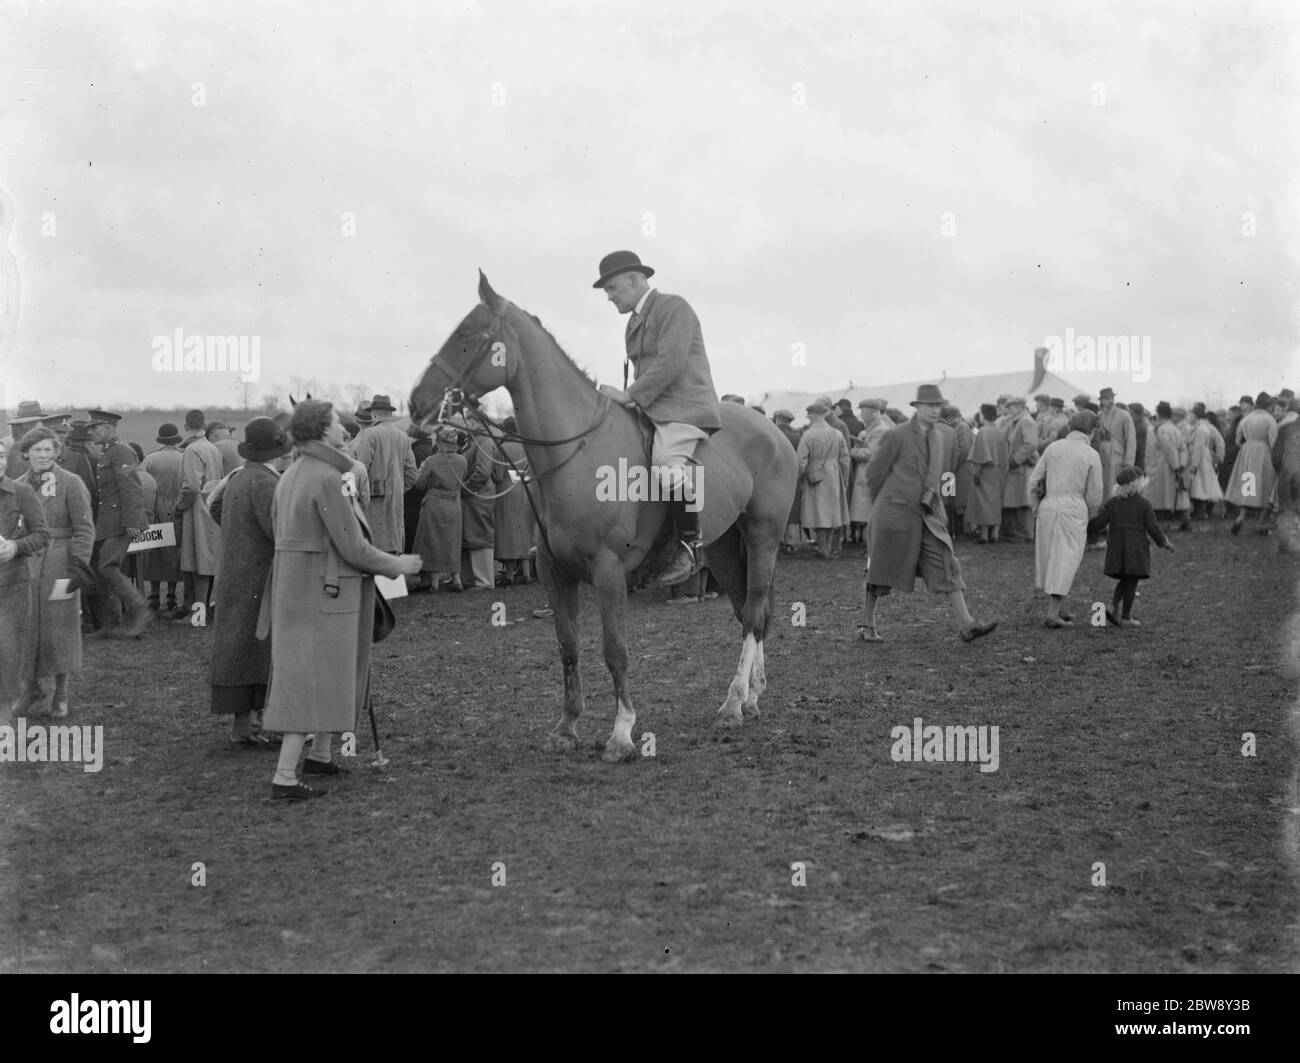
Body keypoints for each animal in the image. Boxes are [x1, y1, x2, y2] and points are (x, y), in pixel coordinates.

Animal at [410, 268, 795, 758]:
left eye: (469, 335)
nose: (415, 404)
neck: (575, 450)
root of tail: (774, 431)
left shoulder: (608, 570)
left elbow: (615, 650)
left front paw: (621, 732)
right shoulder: (554, 572)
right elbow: (568, 646)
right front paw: (567, 727)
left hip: (763, 537)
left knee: (753, 612)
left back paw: (732, 704)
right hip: (725, 546)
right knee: (750, 610)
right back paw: (750, 698)